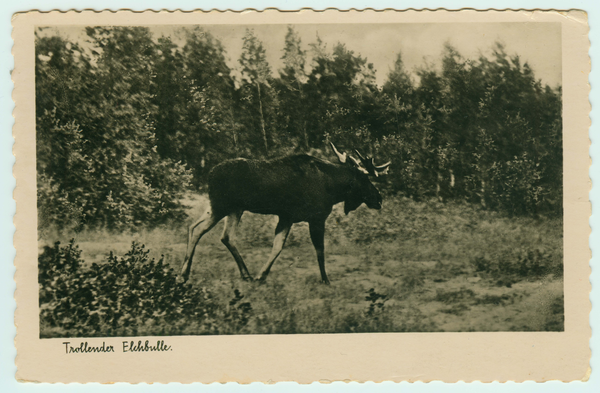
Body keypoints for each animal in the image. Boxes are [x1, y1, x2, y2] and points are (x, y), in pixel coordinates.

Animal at [178, 142, 392, 284]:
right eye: (366, 180)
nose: (379, 199)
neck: (333, 188)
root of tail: (210, 174)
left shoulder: (287, 217)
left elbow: (277, 247)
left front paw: (261, 275)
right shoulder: (316, 218)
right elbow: (320, 250)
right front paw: (325, 280)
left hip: (230, 208)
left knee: (209, 232)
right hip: (222, 206)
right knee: (204, 232)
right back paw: (185, 273)